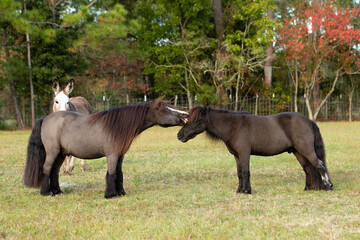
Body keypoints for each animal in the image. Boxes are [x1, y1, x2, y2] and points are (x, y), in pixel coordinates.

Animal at [23, 100, 187, 198]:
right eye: (166, 109)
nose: (184, 117)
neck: (118, 126)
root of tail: (45, 119)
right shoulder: (112, 155)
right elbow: (111, 174)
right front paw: (110, 194)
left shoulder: (120, 155)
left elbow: (119, 174)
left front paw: (120, 192)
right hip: (52, 152)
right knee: (46, 169)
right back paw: (46, 192)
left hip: (62, 154)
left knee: (55, 171)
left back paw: (58, 191)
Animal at [176, 106, 332, 194]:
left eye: (196, 120)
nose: (179, 135)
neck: (234, 126)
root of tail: (309, 121)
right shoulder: (237, 156)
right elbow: (240, 173)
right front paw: (240, 190)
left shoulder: (244, 153)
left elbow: (245, 172)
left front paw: (246, 191)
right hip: (298, 152)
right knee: (309, 169)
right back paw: (308, 189)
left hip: (305, 150)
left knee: (319, 165)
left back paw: (328, 187)